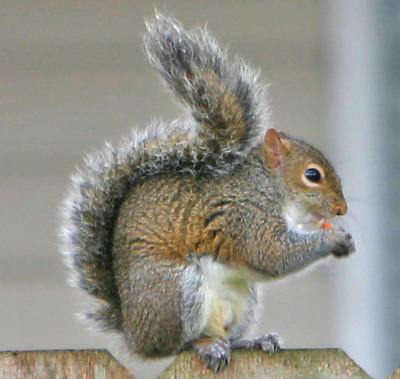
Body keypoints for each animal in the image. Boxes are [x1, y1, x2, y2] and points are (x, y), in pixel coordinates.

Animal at [61, 13, 356, 372]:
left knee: (226, 335)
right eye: (312, 175)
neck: (266, 187)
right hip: (175, 290)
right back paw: (205, 346)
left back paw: (251, 341)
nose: (341, 210)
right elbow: (271, 253)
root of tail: (134, 332)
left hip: (242, 300)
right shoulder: (245, 217)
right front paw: (334, 238)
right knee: (177, 344)